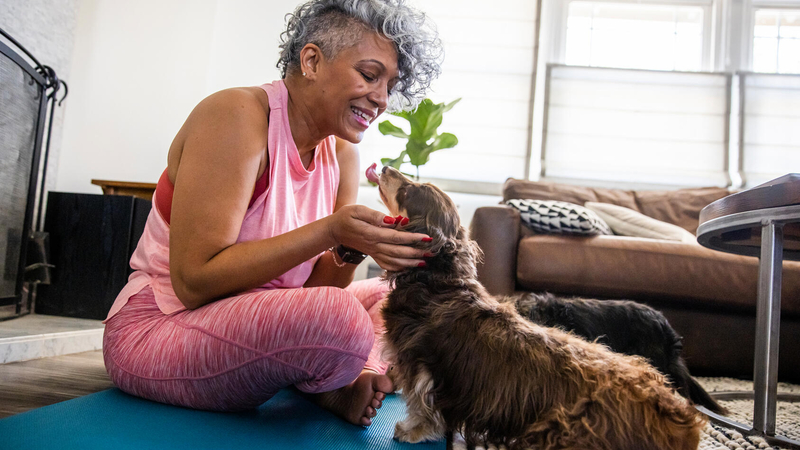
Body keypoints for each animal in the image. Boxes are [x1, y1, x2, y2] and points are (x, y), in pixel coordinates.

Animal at [372, 167, 704, 450]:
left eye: (409, 191)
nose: (385, 167)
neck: (438, 280)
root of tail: (679, 416)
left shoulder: (420, 362)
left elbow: (421, 403)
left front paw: (413, 430)